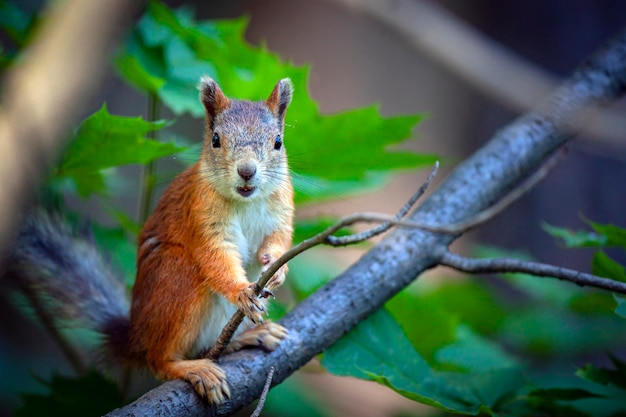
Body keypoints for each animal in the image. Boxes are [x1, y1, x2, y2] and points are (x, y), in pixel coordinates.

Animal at [6, 75, 294, 404]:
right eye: (216, 139)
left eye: (278, 142)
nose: (246, 171)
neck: (246, 200)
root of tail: (136, 339)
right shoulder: (200, 214)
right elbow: (214, 257)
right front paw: (242, 291)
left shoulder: (281, 210)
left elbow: (279, 240)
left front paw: (277, 268)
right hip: (174, 276)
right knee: (160, 360)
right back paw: (193, 368)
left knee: (206, 346)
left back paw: (251, 335)